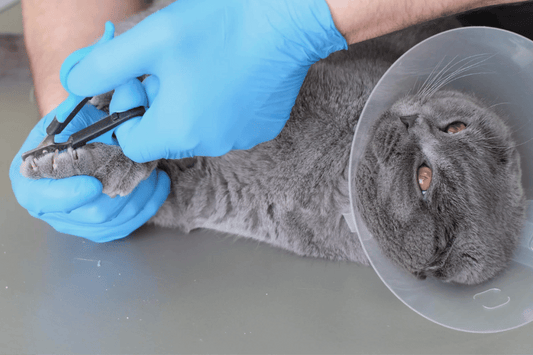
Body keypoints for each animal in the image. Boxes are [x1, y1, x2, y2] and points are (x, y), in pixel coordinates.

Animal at [16, 3, 524, 286]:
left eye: (424, 178)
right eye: (455, 127)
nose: (409, 120)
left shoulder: (194, 190)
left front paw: (74, 166)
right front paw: (84, 156)